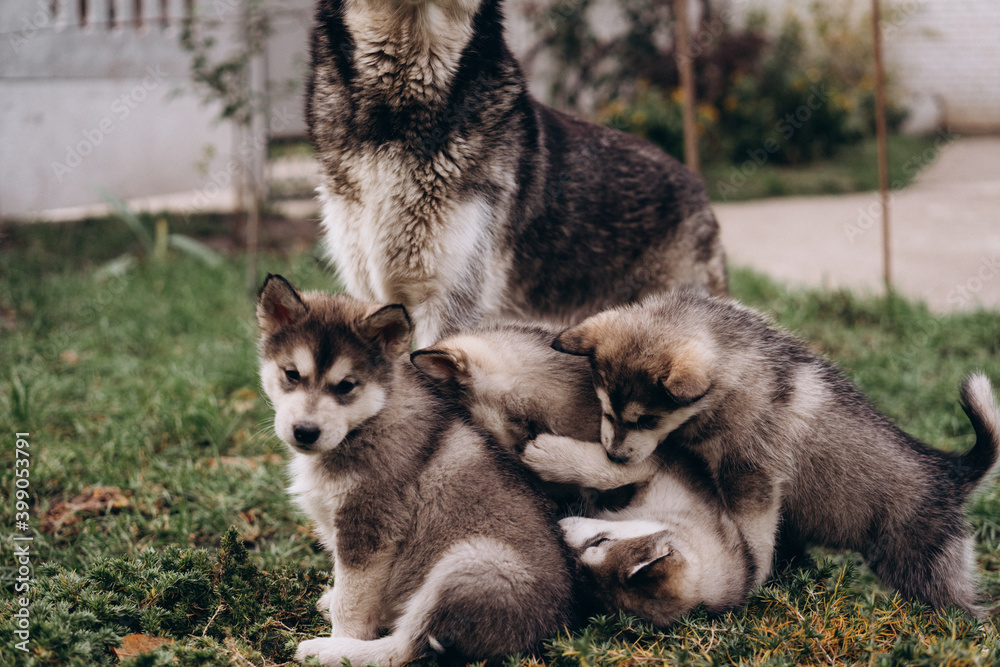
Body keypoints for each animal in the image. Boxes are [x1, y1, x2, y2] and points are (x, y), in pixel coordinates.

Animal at [256, 274, 580, 664]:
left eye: (346, 386)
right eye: (291, 374)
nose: (304, 431)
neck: (368, 423)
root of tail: (557, 626)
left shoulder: (370, 528)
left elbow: (351, 603)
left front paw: (342, 633)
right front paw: (335, 598)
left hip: (468, 564)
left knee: (405, 648)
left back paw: (329, 651)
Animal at [552, 294, 996, 620]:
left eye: (647, 419)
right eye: (606, 408)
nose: (615, 455)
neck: (734, 375)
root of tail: (951, 472)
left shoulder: (752, 477)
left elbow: (755, 535)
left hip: (925, 574)